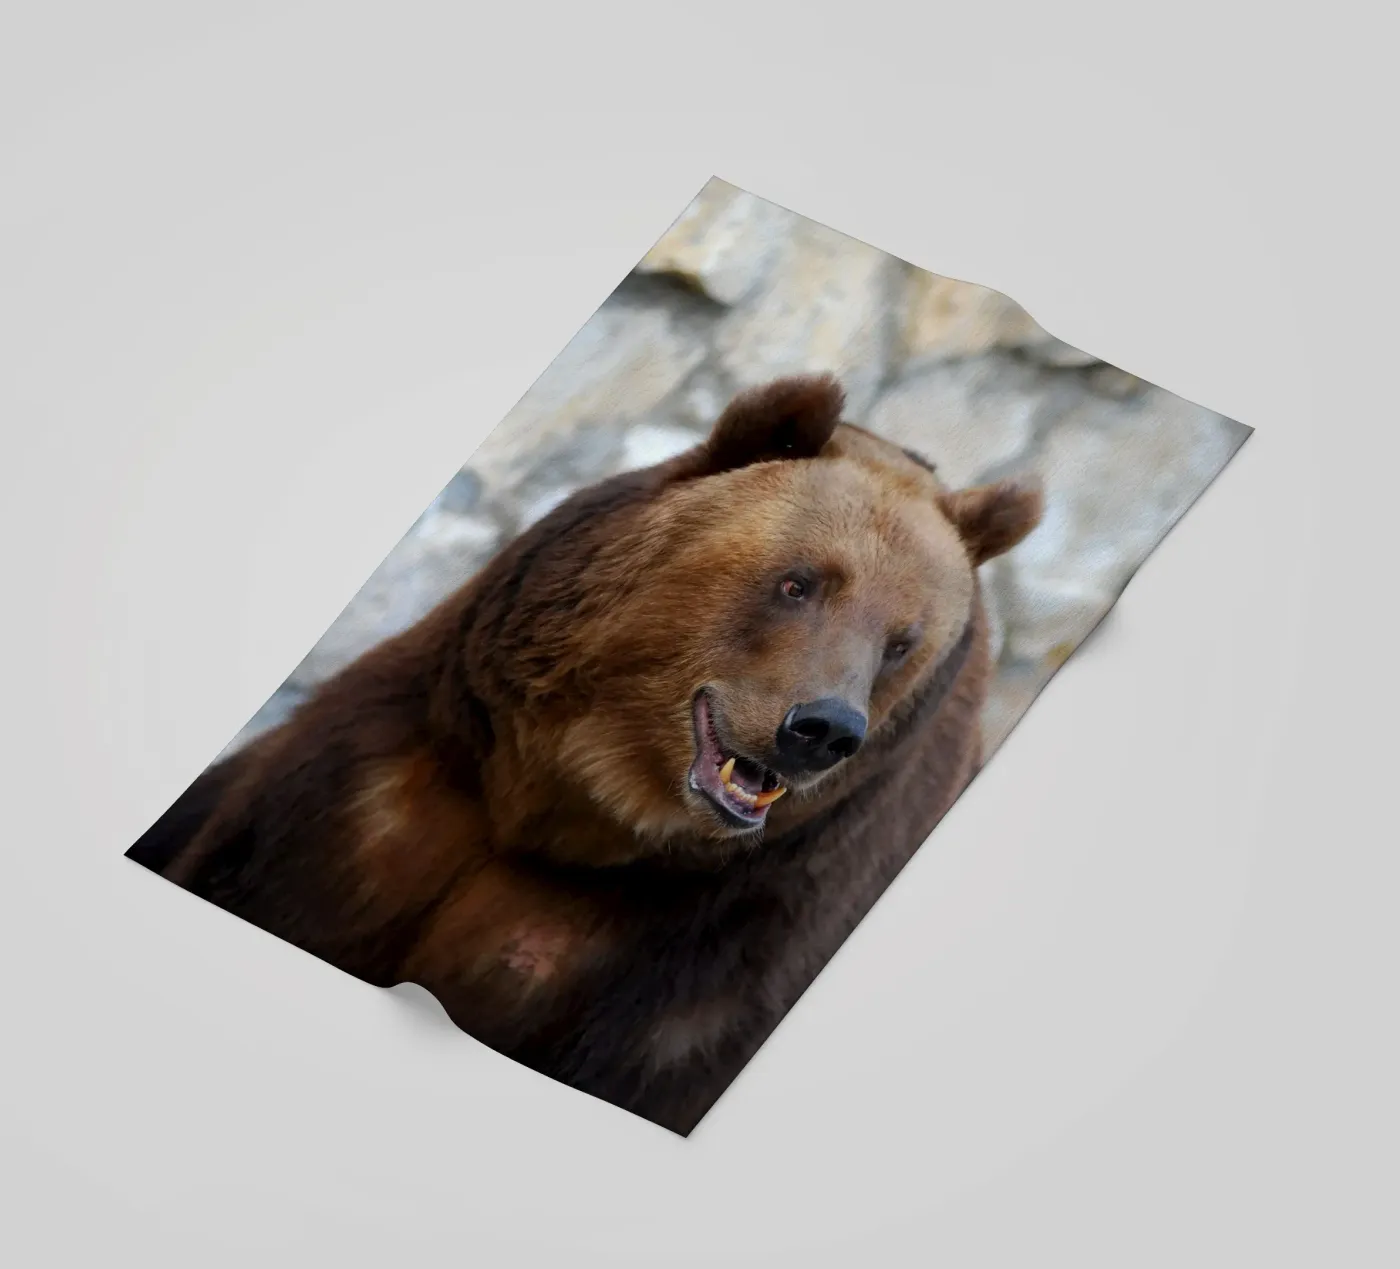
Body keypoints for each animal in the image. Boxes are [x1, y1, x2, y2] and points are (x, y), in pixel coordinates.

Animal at [128, 373, 1043, 1136]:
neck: (572, 805)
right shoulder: (387, 793)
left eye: (902, 641)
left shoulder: (701, 960)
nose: (823, 727)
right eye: (800, 581)